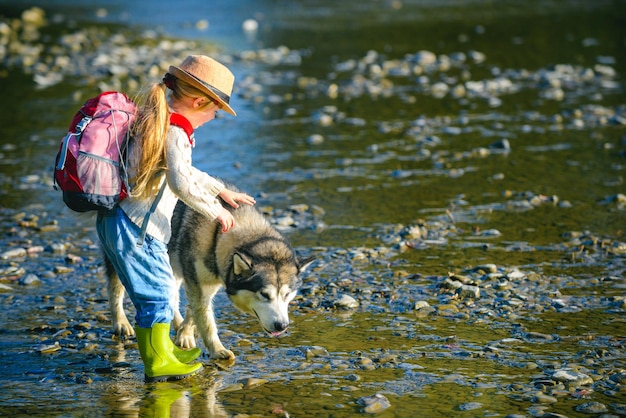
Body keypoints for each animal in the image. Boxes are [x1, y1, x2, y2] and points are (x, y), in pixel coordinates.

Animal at [106, 186, 314, 360]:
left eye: (287, 295)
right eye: (264, 294)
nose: (282, 326)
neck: (220, 233)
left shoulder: (204, 281)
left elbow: (194, 311)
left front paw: (185, 332)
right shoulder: (198, 283)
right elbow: (206, 320)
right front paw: (217, 349)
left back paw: (177, 323)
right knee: (115, 289)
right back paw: (121, 323)